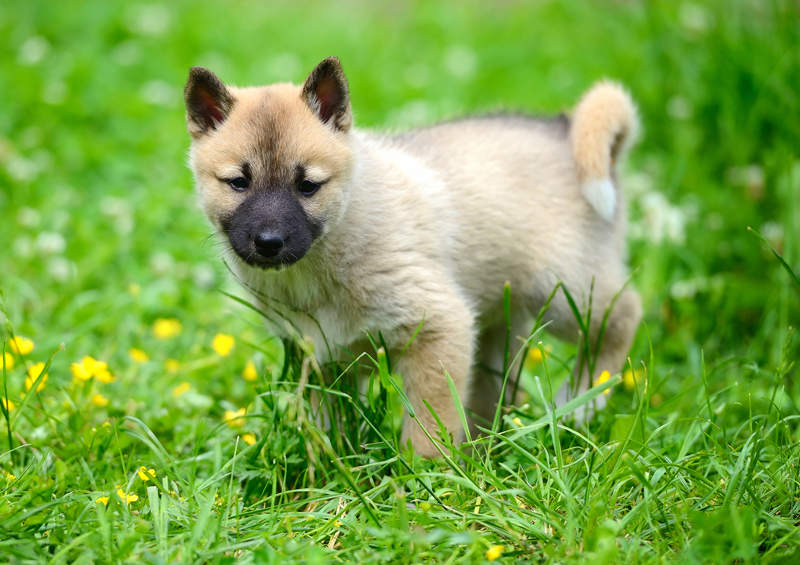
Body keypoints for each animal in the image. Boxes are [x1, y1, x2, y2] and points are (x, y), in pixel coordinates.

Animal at [184, 57, 640, 456]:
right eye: (238, 182)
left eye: (308, 186)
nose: (269, 242)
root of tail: (565, 130)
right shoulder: (321, 359)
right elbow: (326, 428)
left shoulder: (439, 327)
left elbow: (429, 428)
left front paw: (427, 480)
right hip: (502, 321)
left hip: (564, 291)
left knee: (623, 317)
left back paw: (581, 402)